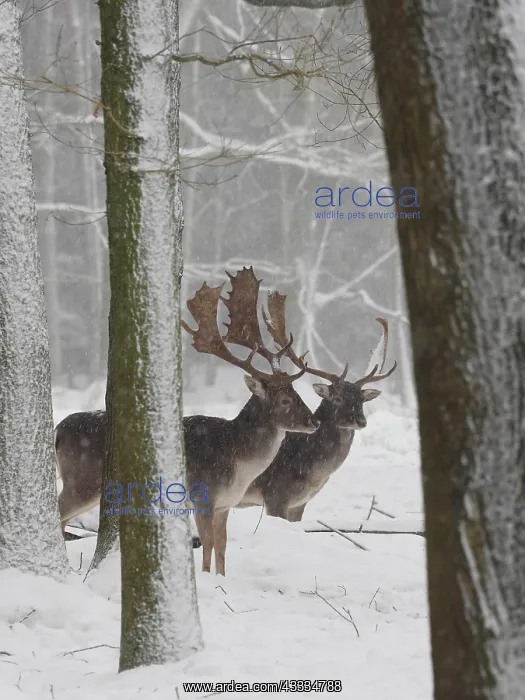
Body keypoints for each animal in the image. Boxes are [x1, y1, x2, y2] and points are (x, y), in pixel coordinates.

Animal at [55, 267, 319, 575]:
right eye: (285, 400)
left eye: (296, 393)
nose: (314, 422)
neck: (238, 460)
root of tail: (58, 430)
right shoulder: (203, 494)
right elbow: (208, 543)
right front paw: (205, 577)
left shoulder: (225, 504)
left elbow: (222, 547)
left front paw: (220, 578)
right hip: (82, 479)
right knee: (58, 511)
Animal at [236, 293, 397, 522]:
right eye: (337, 398)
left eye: (362, 400)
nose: (361, 421)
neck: (313, 473)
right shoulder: (275, 495)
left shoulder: (300, 503)